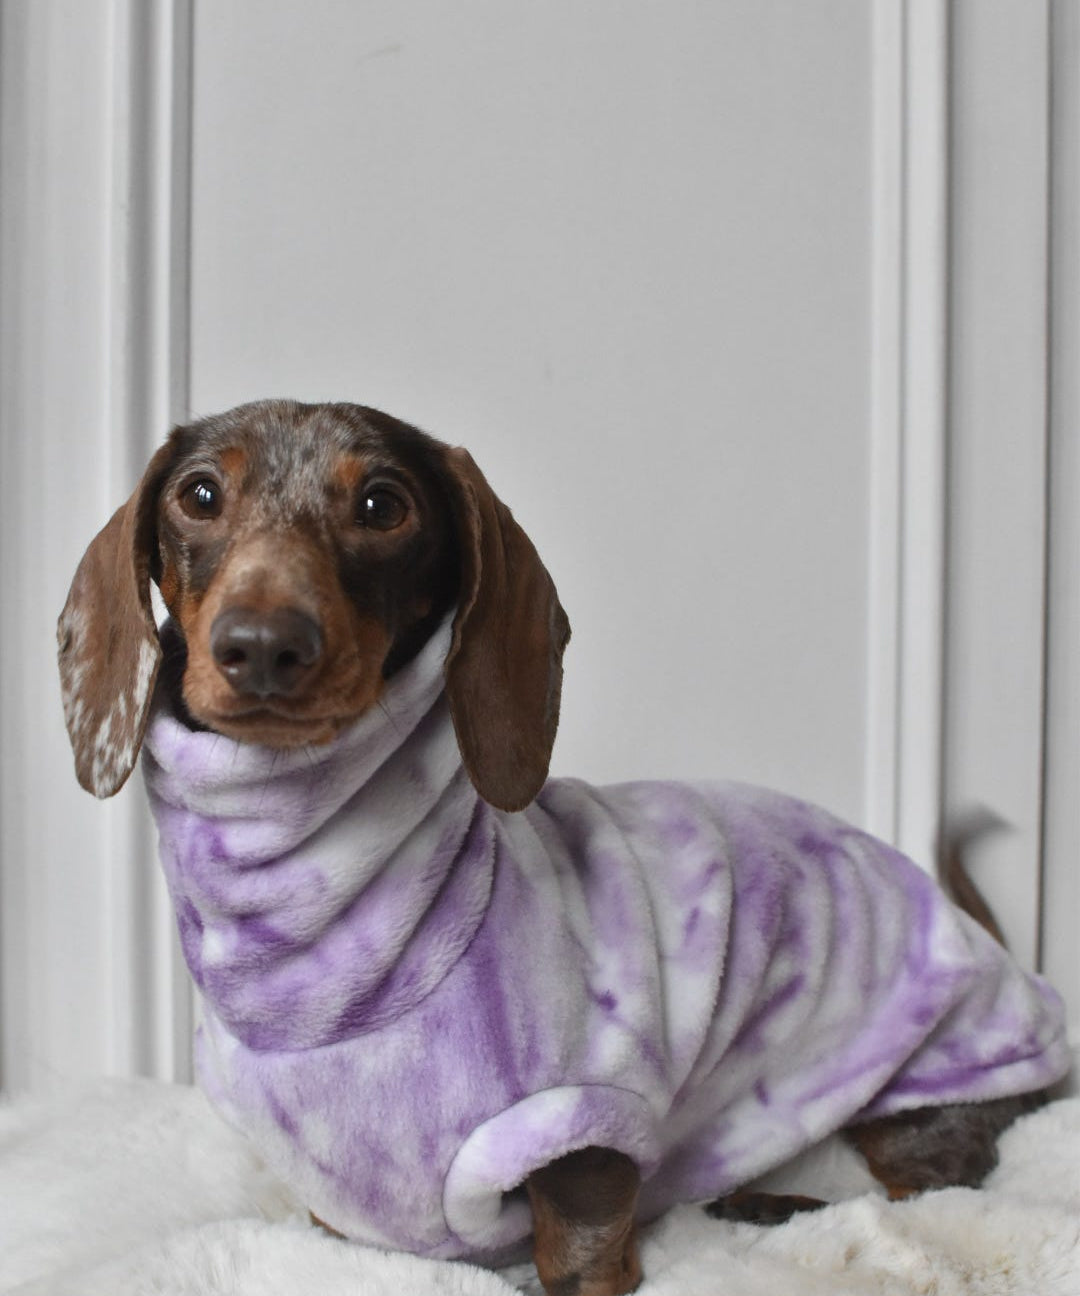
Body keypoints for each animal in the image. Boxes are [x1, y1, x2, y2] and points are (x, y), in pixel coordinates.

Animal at [58, 399, 1068, 1296]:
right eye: (198, 494)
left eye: (384, 505)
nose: (264, 646)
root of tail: (1002, 958)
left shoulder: (584, 1128)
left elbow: (576, 1251)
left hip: (925, 1086)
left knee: (927, 1189)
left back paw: (773, 1205)